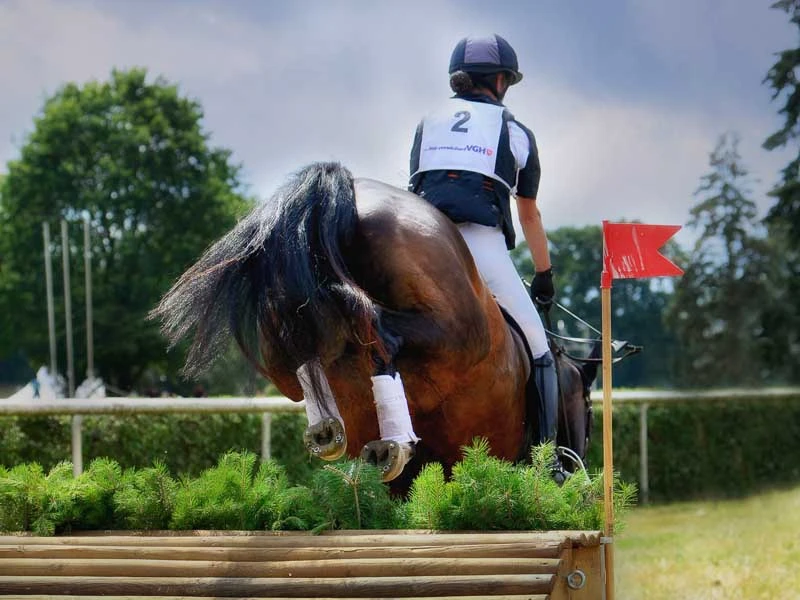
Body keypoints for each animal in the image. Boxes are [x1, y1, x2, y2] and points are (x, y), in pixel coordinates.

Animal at [151, 162, 597, 494]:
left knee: (300, 346)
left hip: (286, 336)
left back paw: (331, 430)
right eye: (589, 409)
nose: (576, 458)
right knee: (380, 334)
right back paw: (390, 444)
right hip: (458, 333)